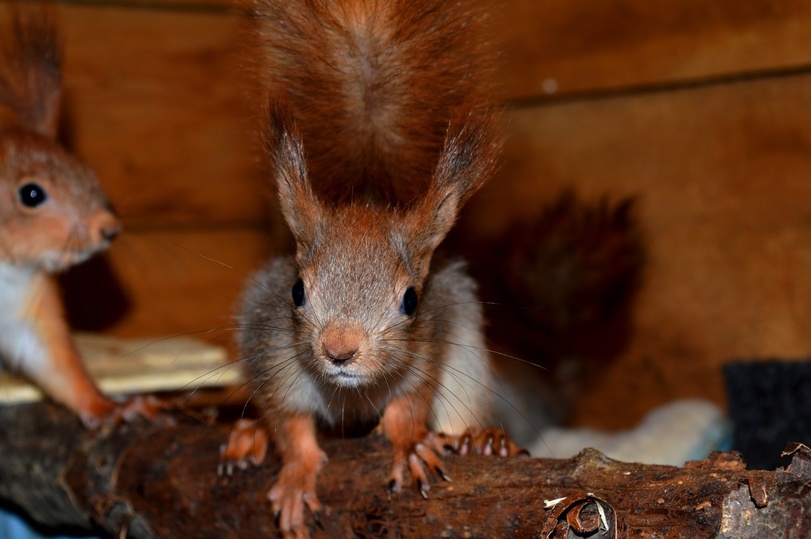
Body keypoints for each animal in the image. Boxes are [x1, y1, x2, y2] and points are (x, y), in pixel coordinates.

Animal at [0, 8, 155, 430]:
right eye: (31, 194)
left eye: (85, 167)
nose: (109, 228)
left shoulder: (27, 305)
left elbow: (55, 364)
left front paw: (110, 407)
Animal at [219, 2, 528, 536]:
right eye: (296, 291)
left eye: (411, 300)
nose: (340, 351)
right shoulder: (270, 355)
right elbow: (289, 426)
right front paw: (296, 475)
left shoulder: (428, 346)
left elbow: (411, 405)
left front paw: (411, 446)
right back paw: (248, 435)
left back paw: (484, 439)